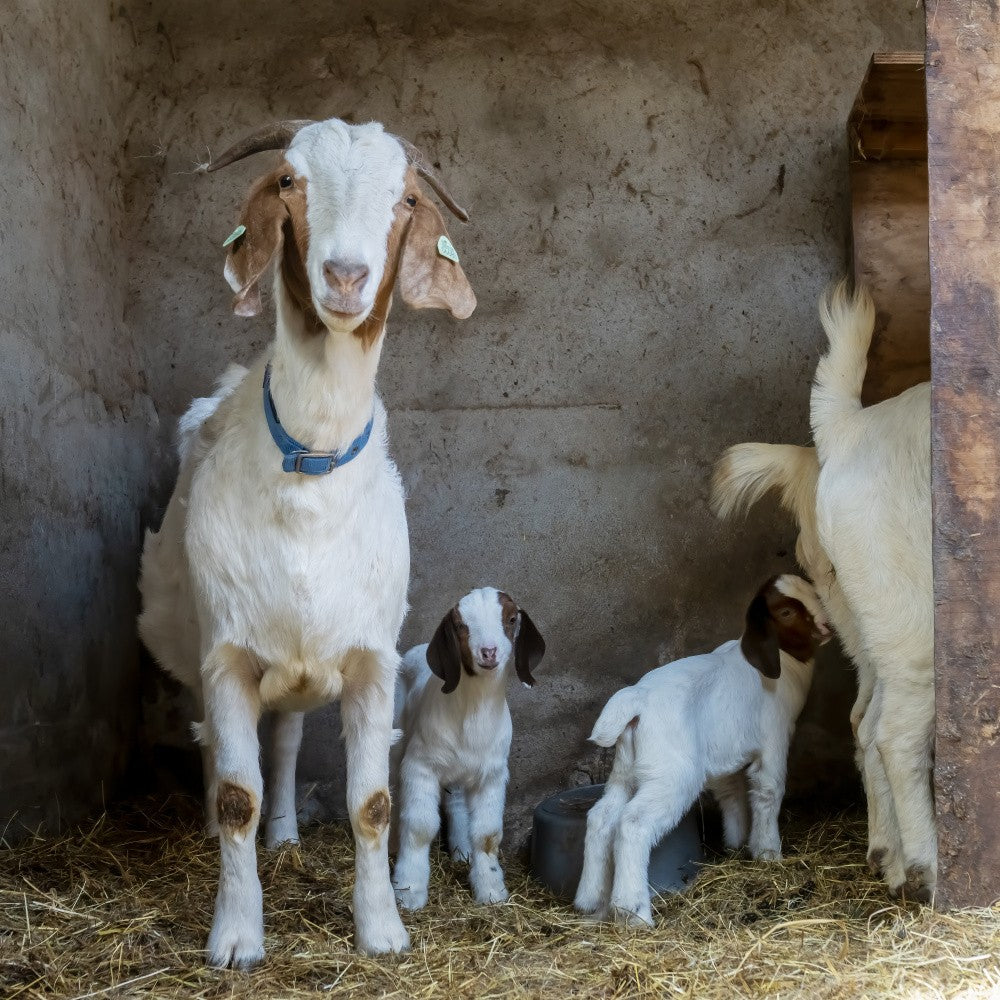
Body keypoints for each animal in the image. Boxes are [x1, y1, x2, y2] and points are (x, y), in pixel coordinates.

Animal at [138, 117, 477, 967]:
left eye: (407, 199)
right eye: (289, 182)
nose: (346, 275)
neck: (311, 461)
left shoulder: (370, 658)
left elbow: (373, 802)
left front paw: (383, 929)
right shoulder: (227, 654)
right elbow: (237, 795)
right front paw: (235, 936)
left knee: (287, 741)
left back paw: (287, 835)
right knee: (216, 748)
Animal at [390, 588, 545, 910]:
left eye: (512, 619)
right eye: (461, 625)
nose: (488, 652)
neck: (474, 710)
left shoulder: (493, 774)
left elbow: (487, 834)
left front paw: (491, 890)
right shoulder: (420, 765)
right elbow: (420, 827)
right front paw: (408, 890)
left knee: (457, 802)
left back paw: (461, 852)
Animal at [574, 575, 828, 927]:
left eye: (814, 591)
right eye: (786, 611)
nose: (827, 626)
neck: (783, 663)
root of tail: (637, 699)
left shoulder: (724, 755)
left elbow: (731, 792)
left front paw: (736, 843)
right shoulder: (773, 741)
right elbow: (768, 791)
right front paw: (768, 853)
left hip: (626, 770)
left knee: (602, 816)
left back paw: (591, 903)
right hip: (672, 774)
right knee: (633, 823)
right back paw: (633, 911)